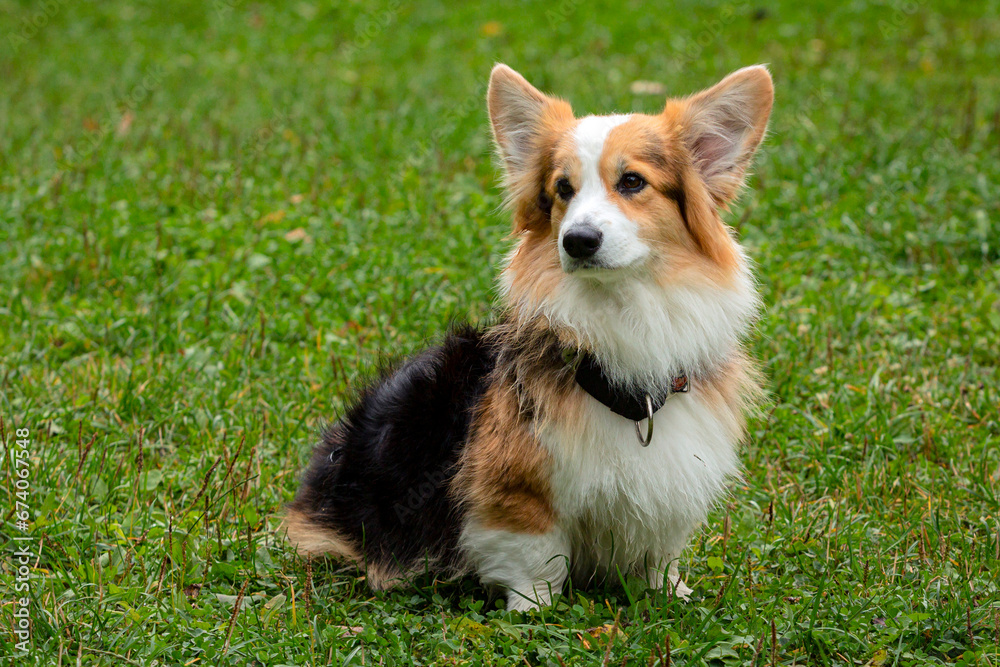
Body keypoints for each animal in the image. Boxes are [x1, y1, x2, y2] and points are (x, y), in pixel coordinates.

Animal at [286, 64, 776, 612]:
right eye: (563, 188)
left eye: (632, 181)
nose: (577, 241)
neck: (624, 312)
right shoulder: (515, 491)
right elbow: (535, 554)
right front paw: (534, 608)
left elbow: (660, 551)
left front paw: (670, 592)